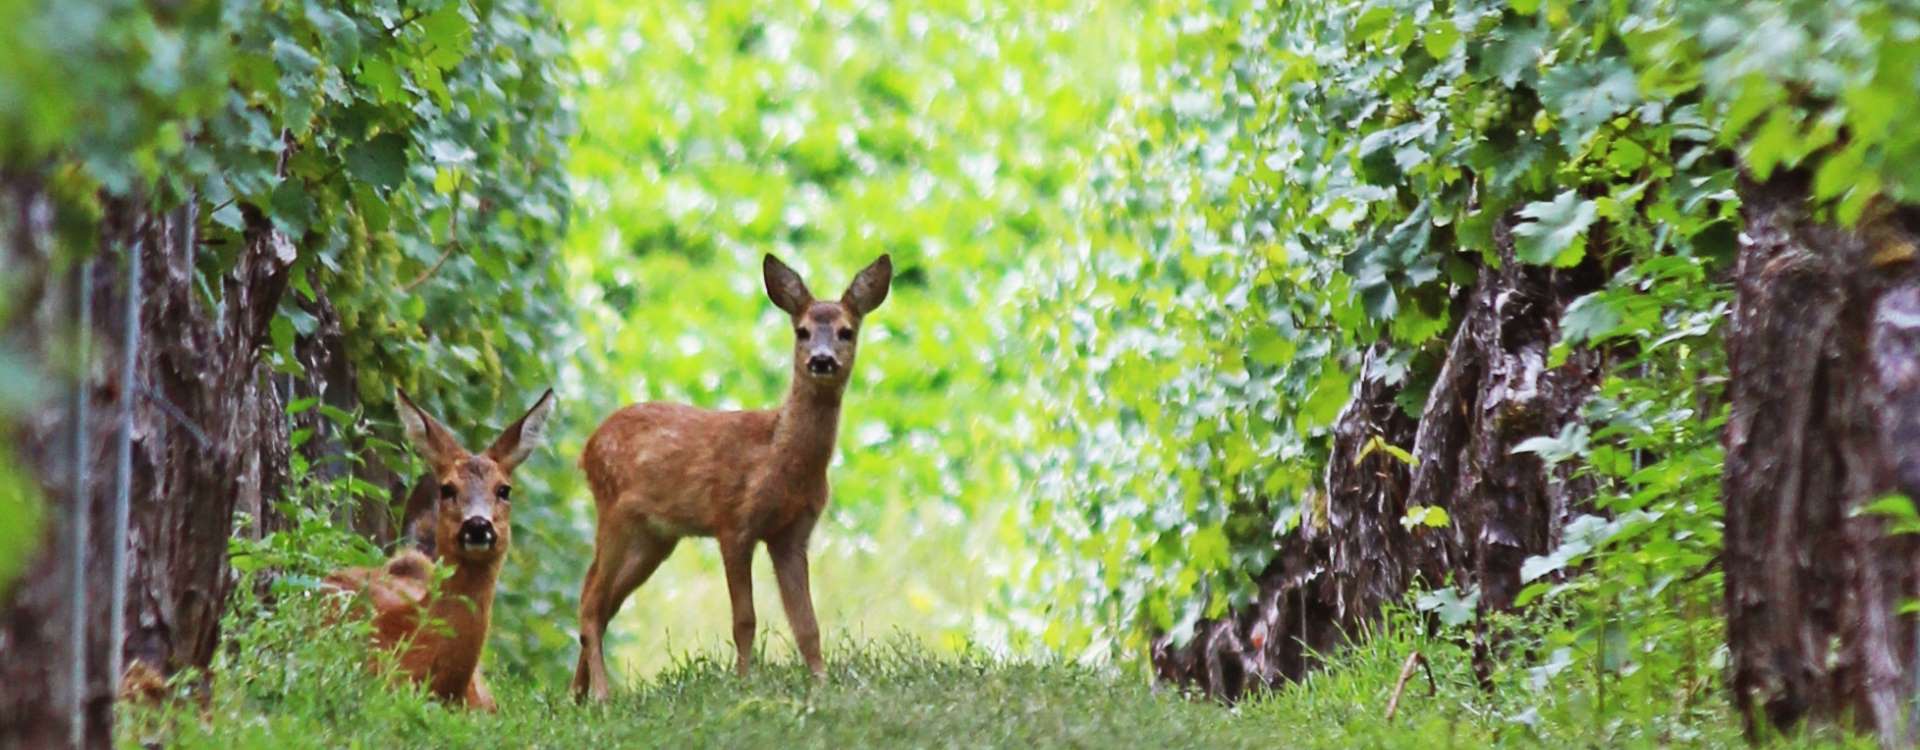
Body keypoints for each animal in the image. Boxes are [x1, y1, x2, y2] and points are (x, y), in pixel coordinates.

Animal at [572, 255, 894, 702]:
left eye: (846, 331)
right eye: (802, 331)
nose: (822, 359)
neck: (781, 459)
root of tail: (587, 447)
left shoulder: (792, 534)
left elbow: (807, 624)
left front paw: (821, 683)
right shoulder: (733, 521)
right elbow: (745, 619)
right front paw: (744, 685)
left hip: (656, 539)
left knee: (601, 600)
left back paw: (577, 694)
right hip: (615, 514)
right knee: (591, 600)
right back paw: (601, 695)